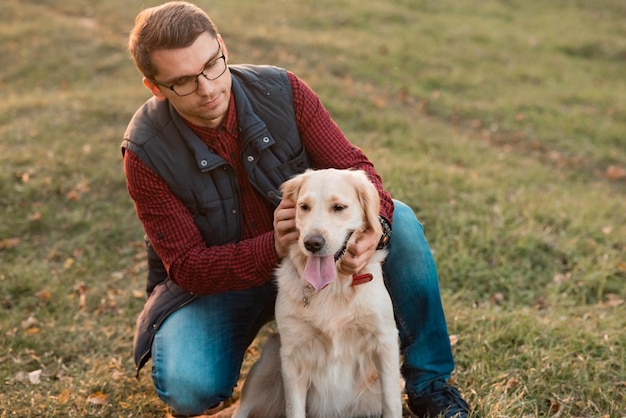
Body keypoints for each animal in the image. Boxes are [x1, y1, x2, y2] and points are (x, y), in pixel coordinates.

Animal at [234, 169, 400, 418]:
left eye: (339, 207)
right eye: (304, 207)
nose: (312, 243)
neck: (332, 287)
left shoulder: (385, 341)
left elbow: (392, 403)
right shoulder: (292, 354)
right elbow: (294, 409)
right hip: (267, 363)